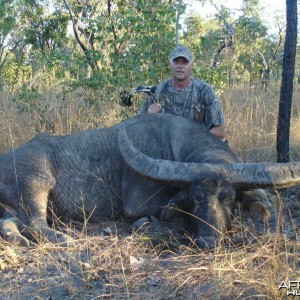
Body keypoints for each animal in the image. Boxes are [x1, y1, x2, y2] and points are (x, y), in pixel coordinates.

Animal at [0, 113, 300, 247]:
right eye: (195, 198)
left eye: (229, 199)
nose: (208, 242)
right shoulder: (141, 205)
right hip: (35, 185)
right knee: (36, 225)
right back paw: (66, 240)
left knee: (11, 225)